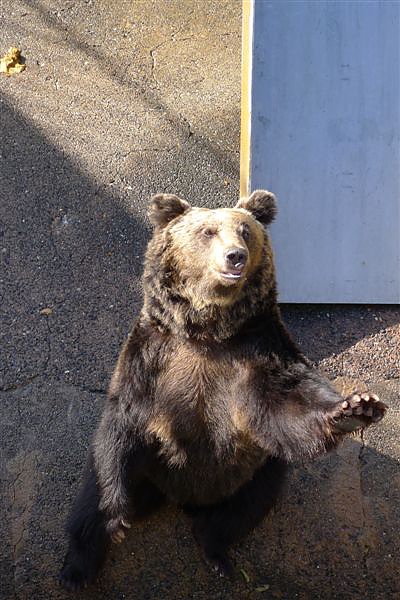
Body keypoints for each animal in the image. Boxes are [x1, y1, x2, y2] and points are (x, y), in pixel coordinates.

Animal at [59, 190, 388, 588]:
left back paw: (217, 554)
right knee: (89, 503)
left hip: (256, 470)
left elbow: (288, 400)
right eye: (208, 231)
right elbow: (122, 423)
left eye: (245, 230)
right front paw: (115, 516)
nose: (236, 256)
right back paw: (77, 568)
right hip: (150, 470)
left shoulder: (257, 352)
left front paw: (358, 407)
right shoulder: (152, 359)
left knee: (243, 510)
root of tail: (183, 497)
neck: (207, 330)